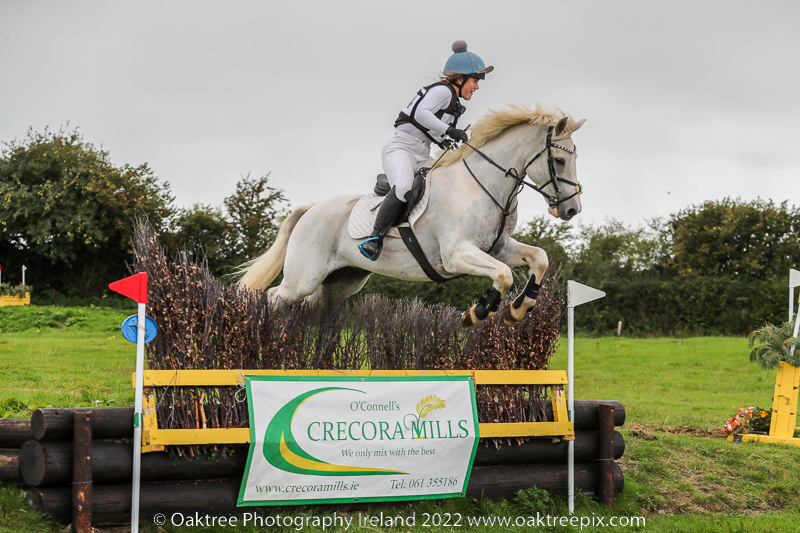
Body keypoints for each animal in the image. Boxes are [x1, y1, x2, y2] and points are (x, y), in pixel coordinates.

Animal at [238, 103, 580, 324]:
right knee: (271, 297)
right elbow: (504, 274)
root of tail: (312, 208)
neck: (484, 183)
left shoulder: (498, 247)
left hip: (341, 281)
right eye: (559, 161)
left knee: (312, 306)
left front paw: (518, 308)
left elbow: (538, 259)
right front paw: (478, 312)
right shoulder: (456, 254)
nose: (571, 209)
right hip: (302, 279)